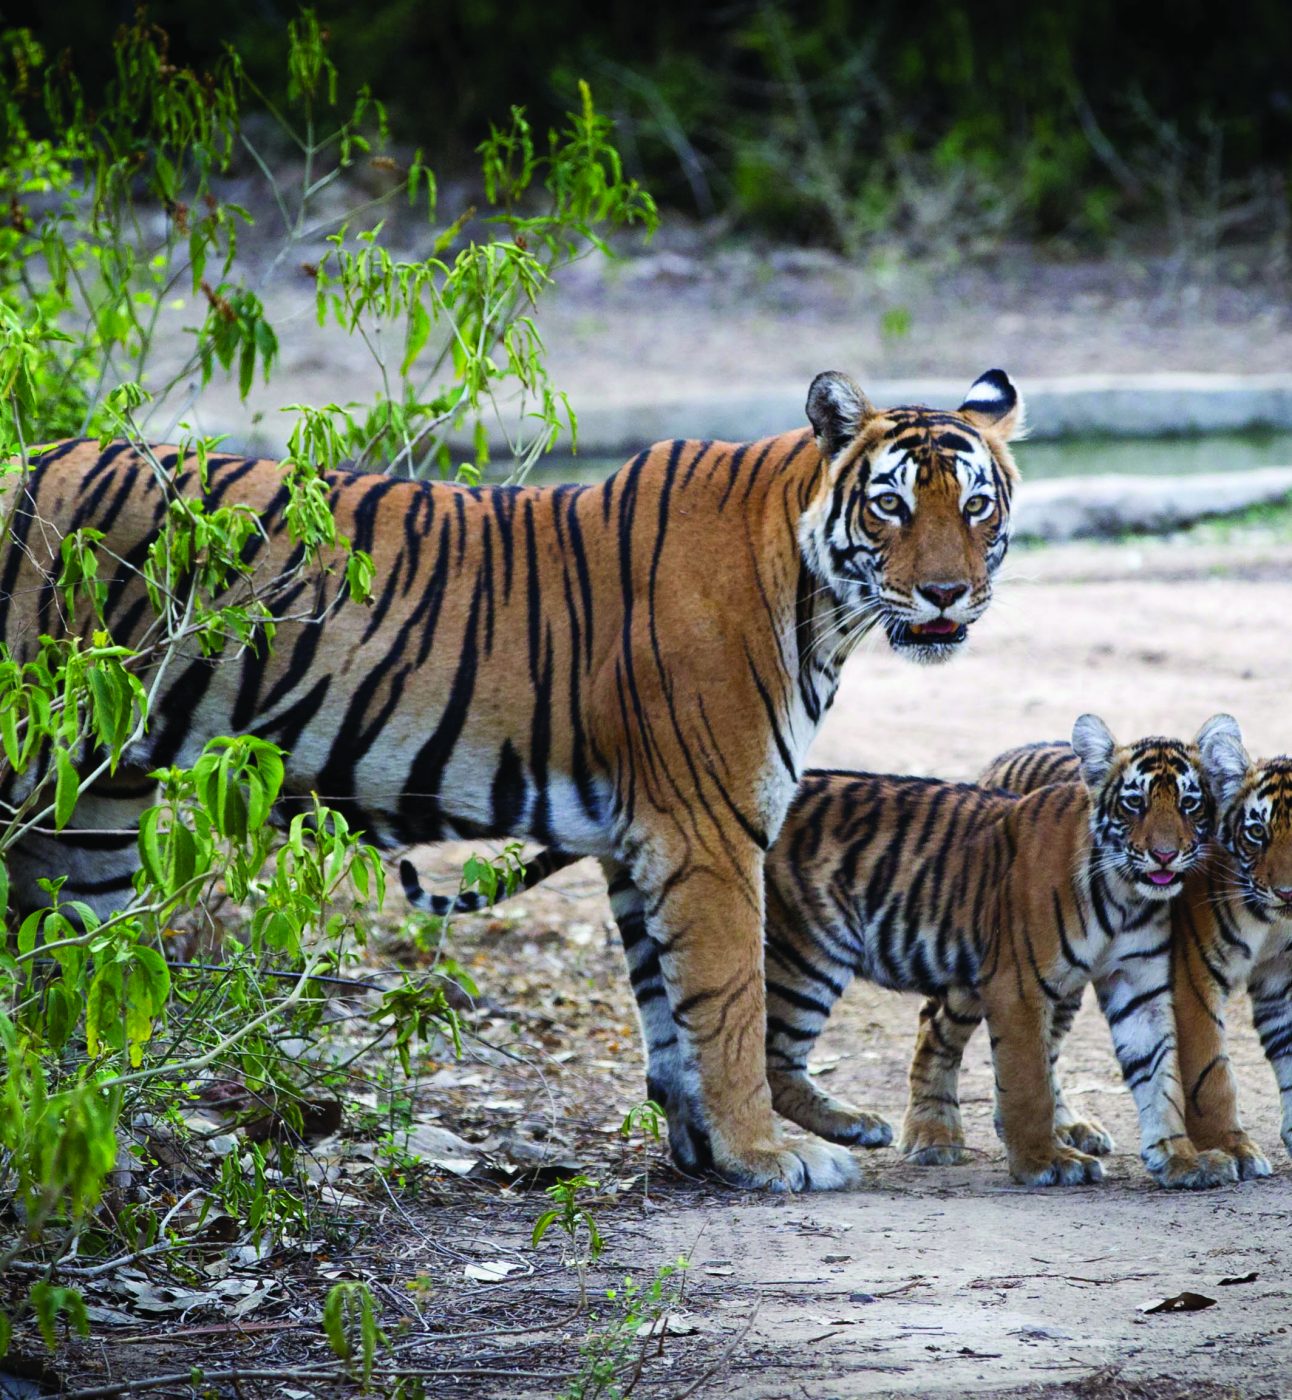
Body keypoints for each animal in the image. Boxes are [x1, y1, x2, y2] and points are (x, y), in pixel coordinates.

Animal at [0, 367, 1023, 1192]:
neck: (822, 605)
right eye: (891, 506)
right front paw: (768, 1155)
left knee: (64, 984)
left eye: (975, 507)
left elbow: (670, 1013)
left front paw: (706, 1153)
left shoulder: (640, 841)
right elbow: (730, 1003)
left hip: (88, 817)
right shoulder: (708, 830)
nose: (946, 594)